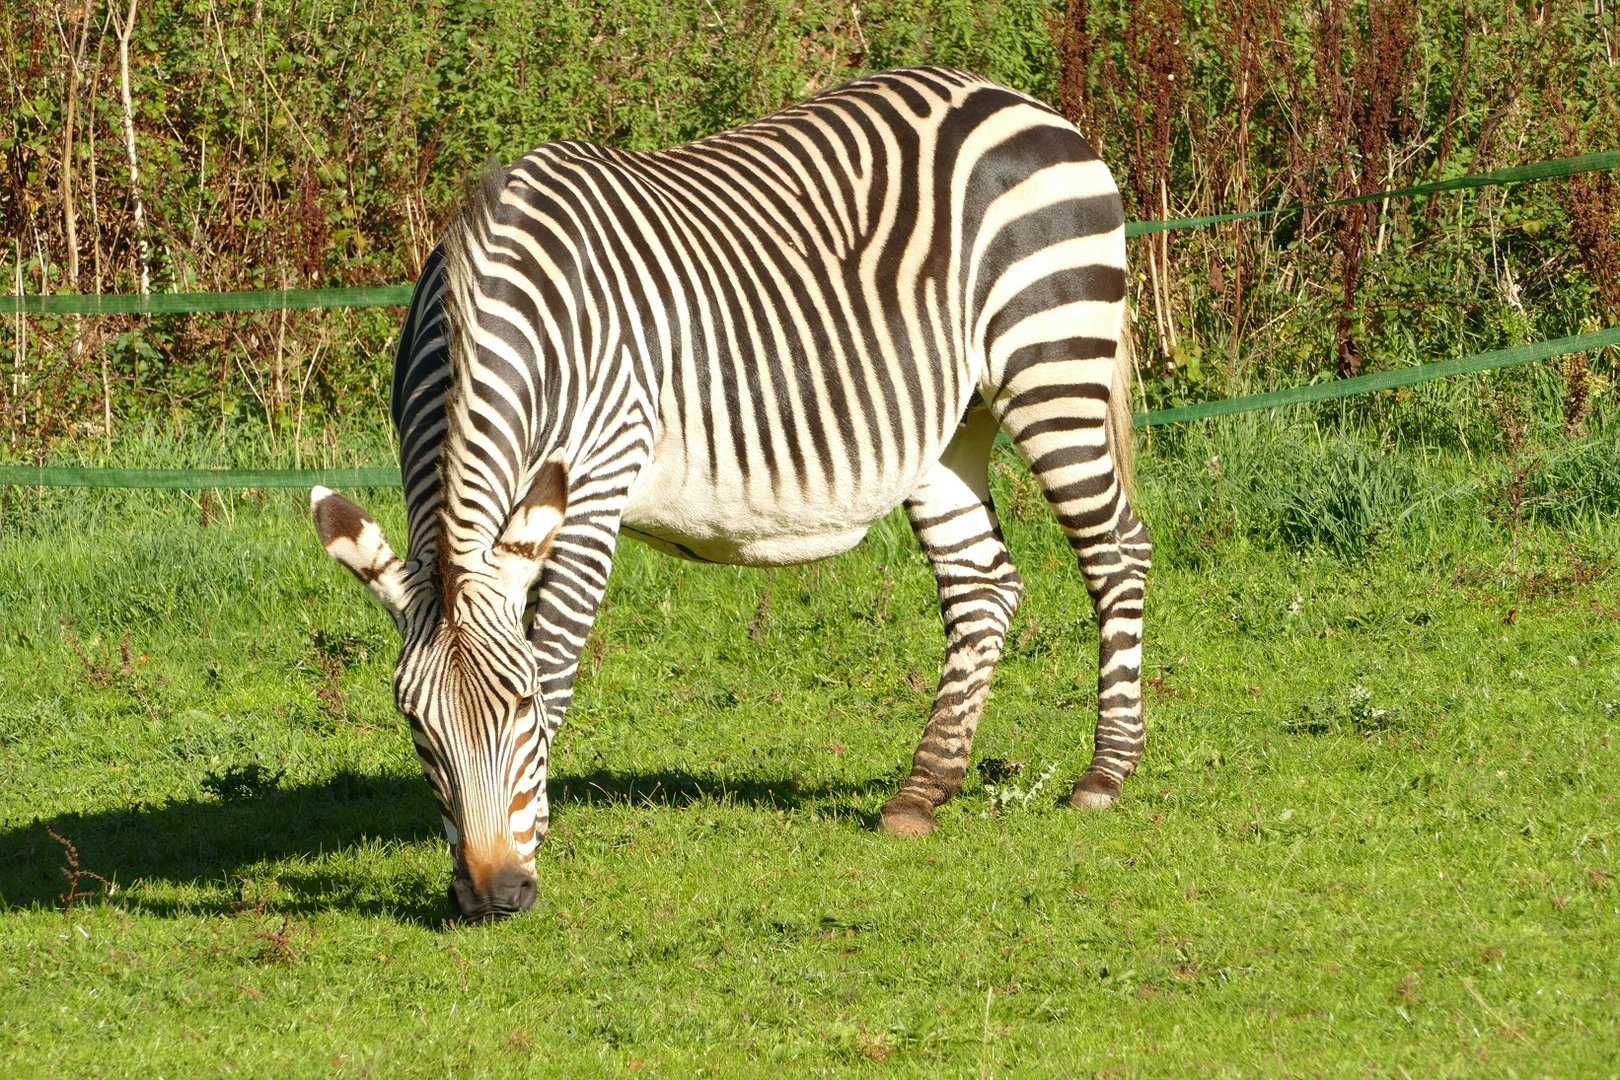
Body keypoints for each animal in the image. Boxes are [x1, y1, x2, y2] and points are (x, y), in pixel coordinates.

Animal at [311, 67, 1151, 922]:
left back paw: (1106, 771)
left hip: (1051, 363)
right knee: (983, 583)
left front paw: (537, 825)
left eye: (519, 707)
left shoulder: (596, 480)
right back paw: (925, 788)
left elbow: (555, 655)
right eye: (413, 721)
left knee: (1118, 552)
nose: (491, 896)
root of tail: (1012, 96)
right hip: (951, 424)